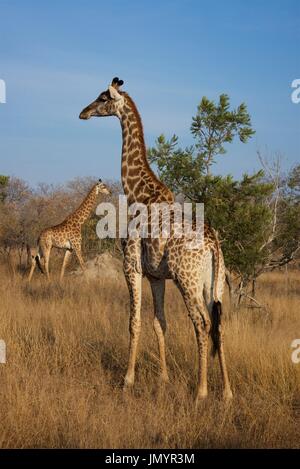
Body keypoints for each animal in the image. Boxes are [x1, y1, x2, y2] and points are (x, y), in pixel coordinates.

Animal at [79, 77, 232, 402]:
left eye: (102, 98)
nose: (83, 112)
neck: (138, 193)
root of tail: (213, 245)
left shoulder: (131, 267)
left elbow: (134, 322)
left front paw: (128, 379)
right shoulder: (156, 276)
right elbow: (159, 322)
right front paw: (163, 377)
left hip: (187, 280)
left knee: (202, 323)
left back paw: (201, 391)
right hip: (212, 283)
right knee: (218, 323)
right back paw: (226, 392)